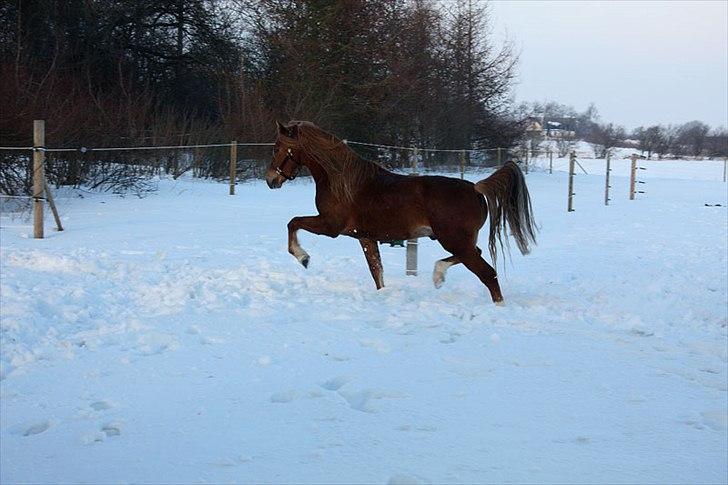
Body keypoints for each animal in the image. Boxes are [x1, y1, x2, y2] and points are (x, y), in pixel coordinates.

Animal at [268, 121, 536, 302]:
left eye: (278, 147)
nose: (271, 180)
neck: (342, 182)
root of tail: (476, 189)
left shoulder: (331, 226)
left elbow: (293, 222)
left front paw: (303, 257)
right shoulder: (365, 237)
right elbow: (377, 272)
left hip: (454, 240)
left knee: (488, 274)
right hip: (457, 241)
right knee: (475, 257)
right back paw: (438, 275)